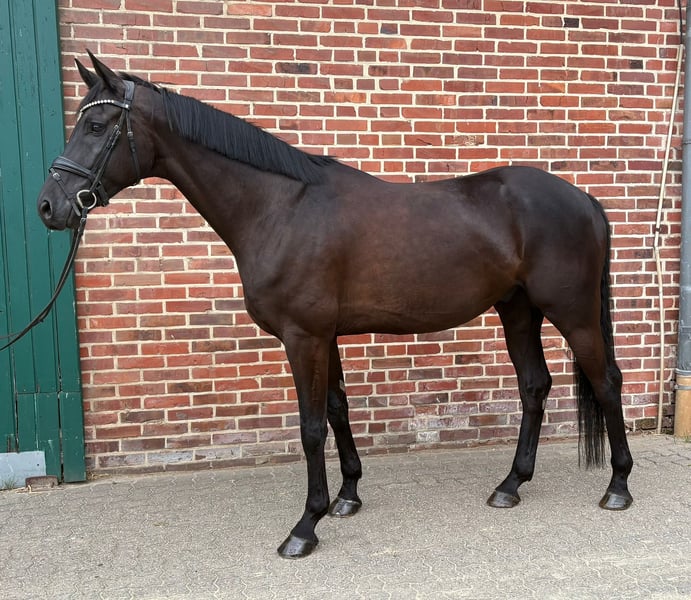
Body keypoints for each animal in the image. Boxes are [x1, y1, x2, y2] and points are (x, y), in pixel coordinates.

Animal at [37, 53, 633, 558]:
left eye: (96, 126)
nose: (50, 206)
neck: (280, 207)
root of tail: (584, 199)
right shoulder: (325, 336)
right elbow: (337, 409)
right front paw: (347, 497)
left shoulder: (303, 337)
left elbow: (309, 428)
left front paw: (305, 527)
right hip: (518, 310)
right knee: (535, 386)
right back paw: (510, 485)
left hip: (573, 313)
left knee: (606, 382)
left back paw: (618, 487)